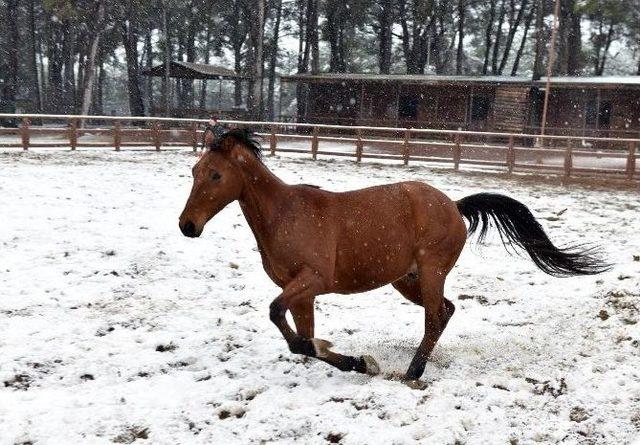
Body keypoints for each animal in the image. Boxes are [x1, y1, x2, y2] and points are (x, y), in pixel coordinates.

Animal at [179, 125, 604, 386]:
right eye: (194, 171)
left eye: (216, 175)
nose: (187, 226)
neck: (285, 214)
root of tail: (453, 205)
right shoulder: (301, 292)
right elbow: (301, 339)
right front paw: (351, 359)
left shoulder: (313, 280)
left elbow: (283, 322)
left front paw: (361, 362)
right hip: (407, 279)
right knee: (446, 310)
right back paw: (416, 365)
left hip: (431, 272)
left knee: (434, 318)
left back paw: (413, 373)